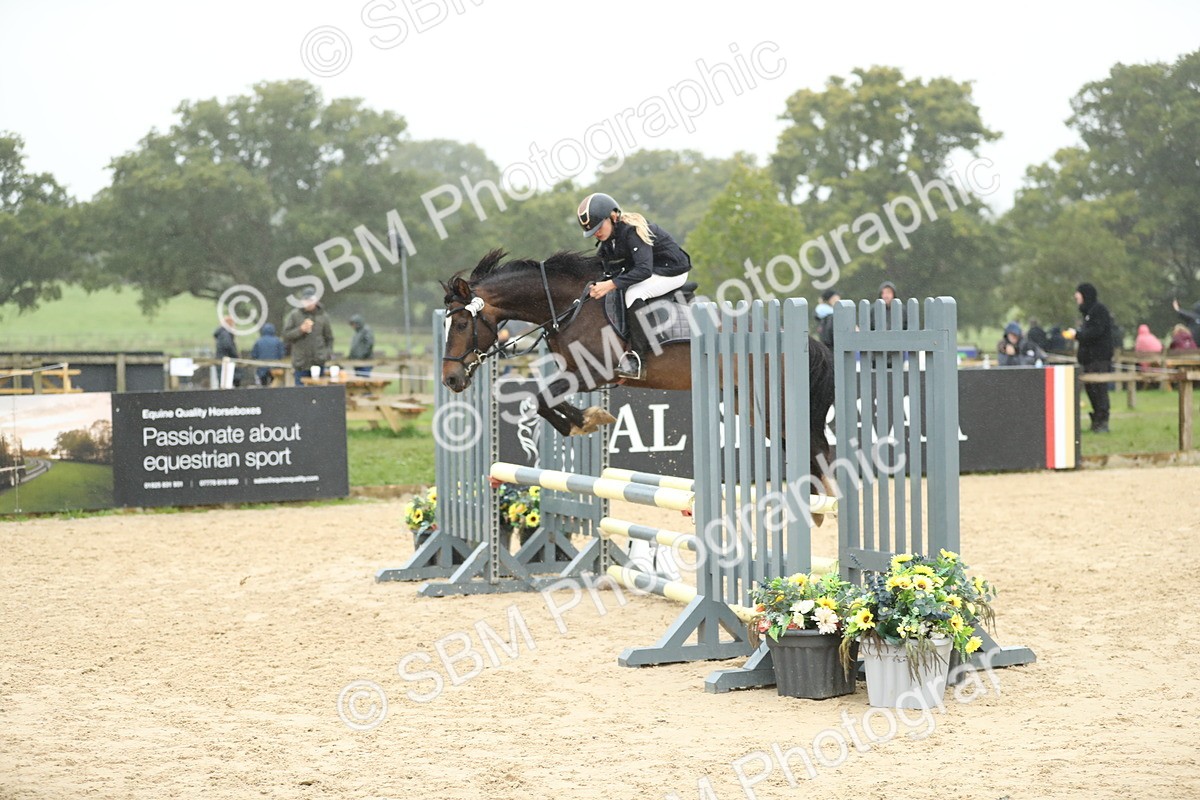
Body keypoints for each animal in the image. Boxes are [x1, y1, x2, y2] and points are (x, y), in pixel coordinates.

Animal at [440, 249, 836, 479]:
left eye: (460, 324)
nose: (450, 379)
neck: (570, 307)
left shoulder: (593, 372)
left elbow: (541, 398)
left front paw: (588, 421)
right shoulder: (576, 372)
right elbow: (542, 400)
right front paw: (587, 420)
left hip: (772, 398)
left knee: (817, 447)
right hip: (748, 402)